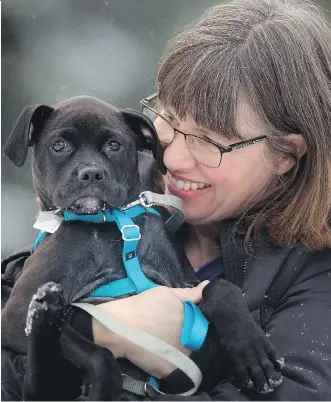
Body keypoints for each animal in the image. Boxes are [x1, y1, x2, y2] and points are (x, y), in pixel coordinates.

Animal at [1, 96, 284, 400]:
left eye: (114, 145)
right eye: (59, 145)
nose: (91, 173)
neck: (112, 225)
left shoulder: (186, 283)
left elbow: (220, 288)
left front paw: (253, 349)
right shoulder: (15, 315)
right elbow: (97, 352)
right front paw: (105, 386)